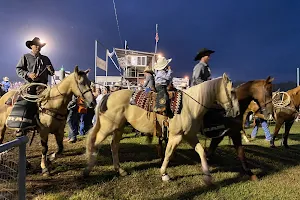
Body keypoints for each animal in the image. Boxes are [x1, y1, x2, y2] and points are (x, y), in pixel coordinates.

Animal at [84, 73, 239, 184]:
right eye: (232, 91)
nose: (237, 112)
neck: (190, 105)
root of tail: (108, 94)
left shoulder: (189, 135)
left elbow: (201, 151)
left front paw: (207, 177)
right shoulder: (176, 136)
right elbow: (168, 153)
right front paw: (164, 174)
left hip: (119, 128)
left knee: (114, 146)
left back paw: (120, 170)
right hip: (108, 127)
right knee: (95, 143)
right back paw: (87, 170)